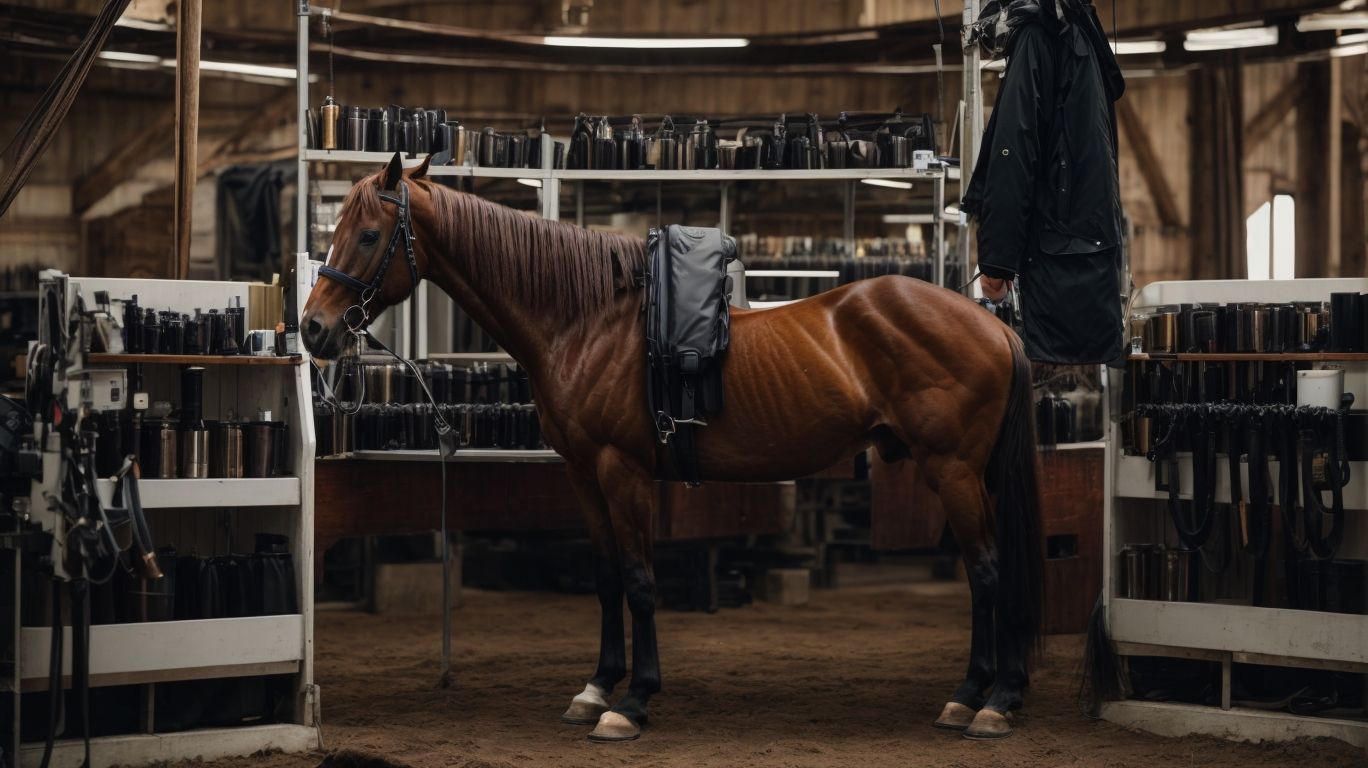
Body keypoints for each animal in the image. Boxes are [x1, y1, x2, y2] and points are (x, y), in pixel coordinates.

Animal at [302, 153, 1044, 743]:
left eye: (368, 234)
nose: (313, 329)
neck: (585, 320)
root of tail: (991, 324)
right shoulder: (583, 474)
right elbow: (606, 577)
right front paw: (596, 687)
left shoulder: (622, 470)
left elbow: (639, 580)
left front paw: (633, 702)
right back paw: (991, 696)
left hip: (954, 470)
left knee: (987, 570)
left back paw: (984, 700)